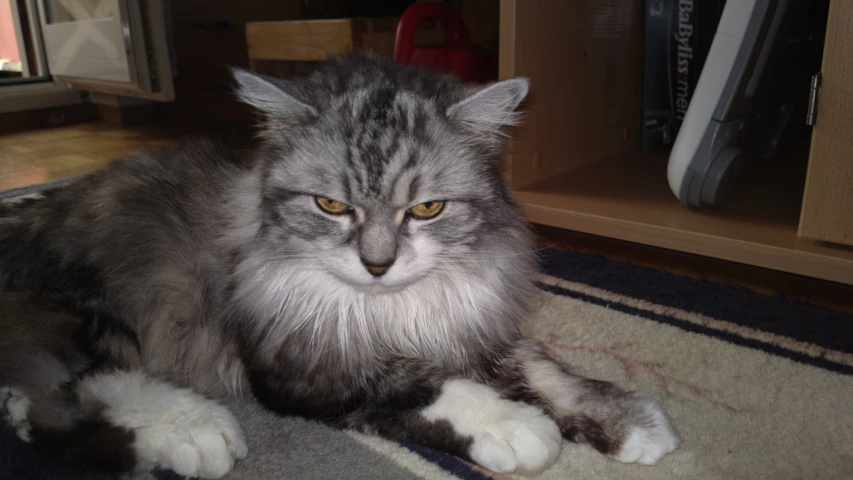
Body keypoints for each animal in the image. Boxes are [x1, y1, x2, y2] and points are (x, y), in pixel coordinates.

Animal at [0, 52, 680, 476]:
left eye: (426, 209)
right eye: (331, 205)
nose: (378, 265)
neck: (389, 308)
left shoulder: (474, 326)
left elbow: (544, 370)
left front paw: (635, 424)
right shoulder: (301, 366)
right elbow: (423, 382)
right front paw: (513, 426)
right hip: (86, 317)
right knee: (70, 402)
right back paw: (198, 431)